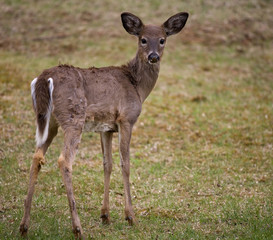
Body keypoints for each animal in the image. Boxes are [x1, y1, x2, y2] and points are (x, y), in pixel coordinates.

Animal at [20, 11, 188, 238]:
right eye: (143, 39)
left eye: (162, 39)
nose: (153, 56)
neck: (137, 87)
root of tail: (44, 79)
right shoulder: (126, 119)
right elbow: (125, 164)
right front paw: (130, 216)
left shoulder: (107, 127)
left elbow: (107, 164)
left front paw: (105, 215)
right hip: (74, 117)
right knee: (64, 160)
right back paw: (77, 228)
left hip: (49, 121)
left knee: (37, 156)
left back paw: (24, 226)